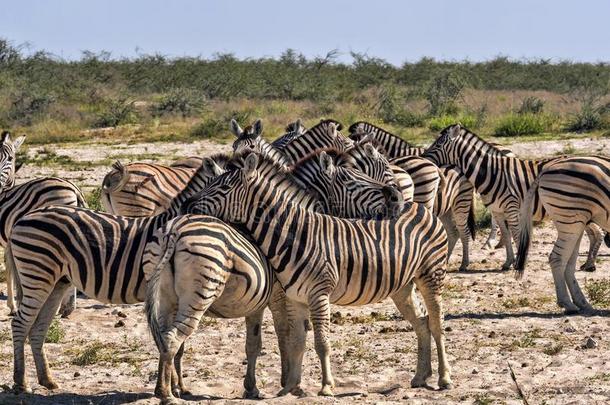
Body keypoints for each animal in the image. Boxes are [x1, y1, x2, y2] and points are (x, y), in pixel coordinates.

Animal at [186, 153, 452, 396]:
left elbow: (321, 343)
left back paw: (444, 379)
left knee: (436, 323)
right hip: (402, 286)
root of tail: (418, 206)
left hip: (431, 274)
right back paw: (420, 376)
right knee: (422, 322)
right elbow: (296, 342)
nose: (189, 205)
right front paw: (290, 387)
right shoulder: (295, 297)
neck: (293, 235)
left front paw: (326, 386)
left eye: (224, 187)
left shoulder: (318, 294)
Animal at [422, 121, 604, 270]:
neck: (492, 172)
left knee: (598, 232)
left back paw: (590, 263)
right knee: (595, 232)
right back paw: (589, 263)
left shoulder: (511, 207)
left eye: (437, 145)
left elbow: (516, 235)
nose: (422, 158)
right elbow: (506, 234)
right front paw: (508, 262)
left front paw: (518, 262)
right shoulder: (498, 211)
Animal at [512, 155, 608, 312]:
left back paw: (582, 302)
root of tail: (544, 171)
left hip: (576, 223)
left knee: (568, 262)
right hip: (570, 218)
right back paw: (567, 303)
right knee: (557, 258)